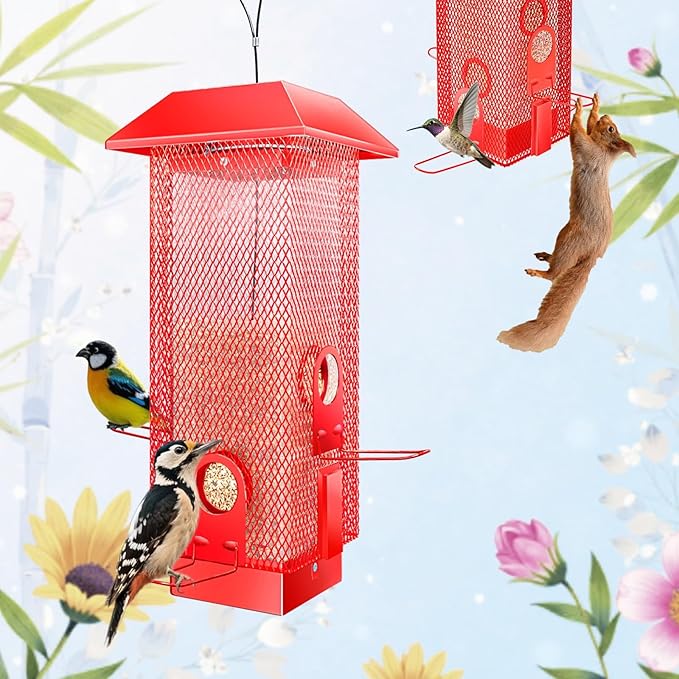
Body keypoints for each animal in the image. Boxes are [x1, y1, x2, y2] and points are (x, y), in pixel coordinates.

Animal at [497, 93, 636, 353]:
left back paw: (538, 271)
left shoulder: (588, 150)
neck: (605, 151)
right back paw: (545, 256)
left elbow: (578, 134)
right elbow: (588, 128)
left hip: (570, 239)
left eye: (611, 129)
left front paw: (579, 110)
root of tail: (592, 255)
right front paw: (595, 105)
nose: (607, 116)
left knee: (554, 275)